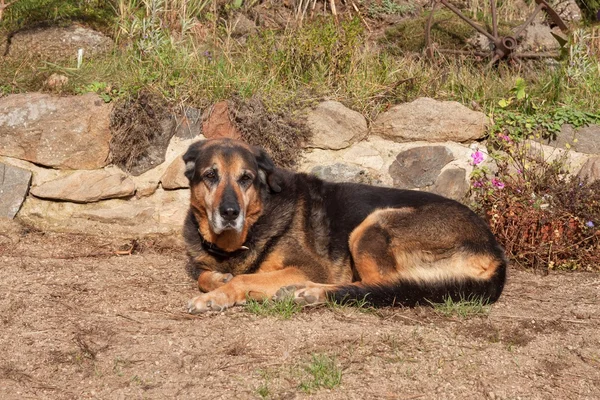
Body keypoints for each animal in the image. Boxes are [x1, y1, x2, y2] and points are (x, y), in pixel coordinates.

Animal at [183, 139, 506, 314]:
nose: (229, 213)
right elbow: (204, 275)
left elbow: (243, 279)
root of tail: (495, 253)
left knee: (380, 286)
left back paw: (308, 292)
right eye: (210, 176)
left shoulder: (310, 267)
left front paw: (216, 297)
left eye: (246, 179)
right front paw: (217, 281)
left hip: (371, 226)